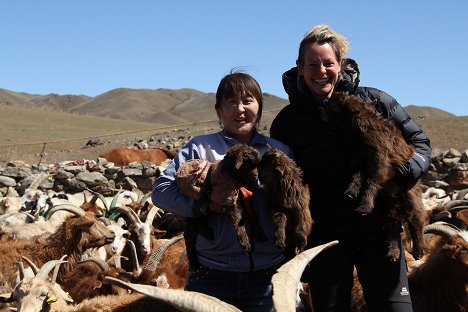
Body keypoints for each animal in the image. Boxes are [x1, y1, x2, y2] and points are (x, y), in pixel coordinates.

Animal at [322, 92, 428, 260]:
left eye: (331, 104)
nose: (321, 113)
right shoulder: (360, 159)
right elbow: (357, 177)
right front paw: (350, 193)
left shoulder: (381, 162)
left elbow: (372, 182)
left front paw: (364, 207)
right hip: (390, 203)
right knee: (392, 225)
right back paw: (393, 252)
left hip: (412, 195)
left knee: (416, 221)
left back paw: (418, 250)